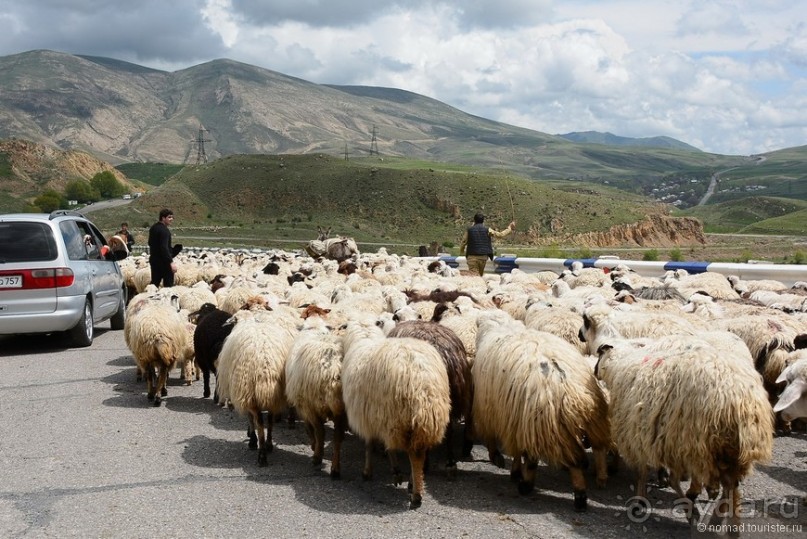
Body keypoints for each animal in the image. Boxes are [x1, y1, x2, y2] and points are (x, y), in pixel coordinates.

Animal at [474, 310, 612, 512]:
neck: (502, 327)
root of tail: (567, 386)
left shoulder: (497, 411)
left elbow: (508, 446)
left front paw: (508, 466)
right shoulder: (512, 416)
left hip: (541, 422)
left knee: (557, 460)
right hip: (590, 416)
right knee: (598, 448)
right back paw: (599, 478)